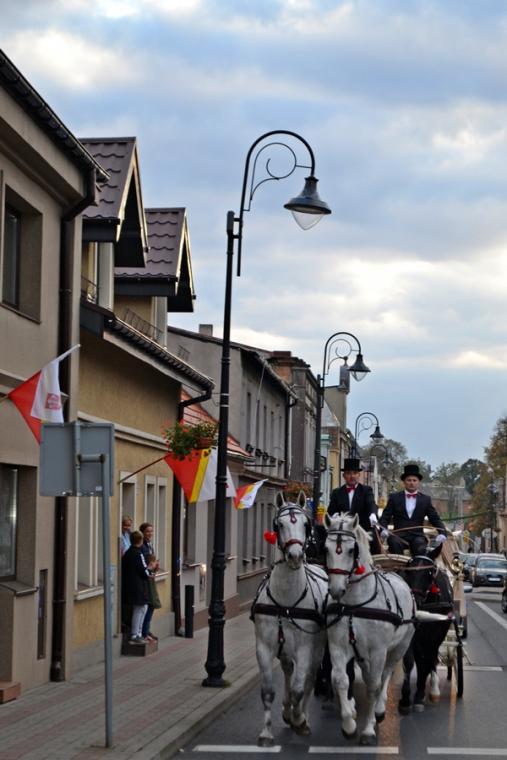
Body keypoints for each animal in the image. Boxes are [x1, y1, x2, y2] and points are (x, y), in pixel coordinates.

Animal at [251, 491, 328, 747]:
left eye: (305, 524)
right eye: (279, 524)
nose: (295, 556)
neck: (286, 601)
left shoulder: (305, 647)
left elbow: (298, 689)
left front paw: (299, 719)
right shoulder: (264, 646)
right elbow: (268, 691)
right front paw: (266, 732)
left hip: (318, 646)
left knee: (310, 678)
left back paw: (301, 715)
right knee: (286, 669)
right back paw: (286, 710)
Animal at [325, 512, 416, 745]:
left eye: (351, 550)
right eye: (326, 548)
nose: (336, 590)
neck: (355, 604)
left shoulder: (378, 651)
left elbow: (374, 686)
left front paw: (367, 730)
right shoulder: (338, 646)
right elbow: (340, 680)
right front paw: (349, 725)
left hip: (398, 648)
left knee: (385, 676)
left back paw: (380, 710)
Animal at [398, 544, 454, 713]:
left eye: (429, 573)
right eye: (409, 571)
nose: (414, 603)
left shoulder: (436, 635)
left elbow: (428, 660)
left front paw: (419, 695)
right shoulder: (412, 634)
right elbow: (409, 661)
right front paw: (405, 698)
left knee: (430, 657)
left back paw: (432, 689)